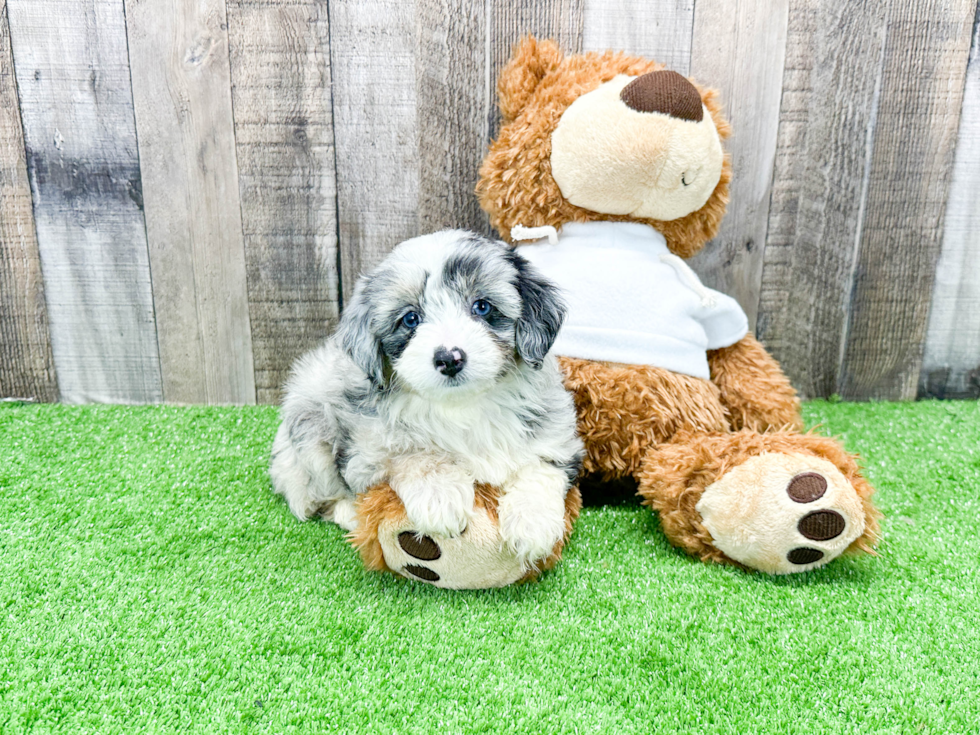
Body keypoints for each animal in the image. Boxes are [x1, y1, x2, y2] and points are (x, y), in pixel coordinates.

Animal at [270, 230, 580, 564]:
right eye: (410, 319)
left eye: (482, 307)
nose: (449, 358)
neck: (464, 407)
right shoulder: (370, 447)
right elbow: (412, 454)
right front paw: (440, 496)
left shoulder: (556, 437)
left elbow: (540, 469)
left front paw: (533, 524)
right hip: (309, 420)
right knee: (317, 495)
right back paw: (349, 513)